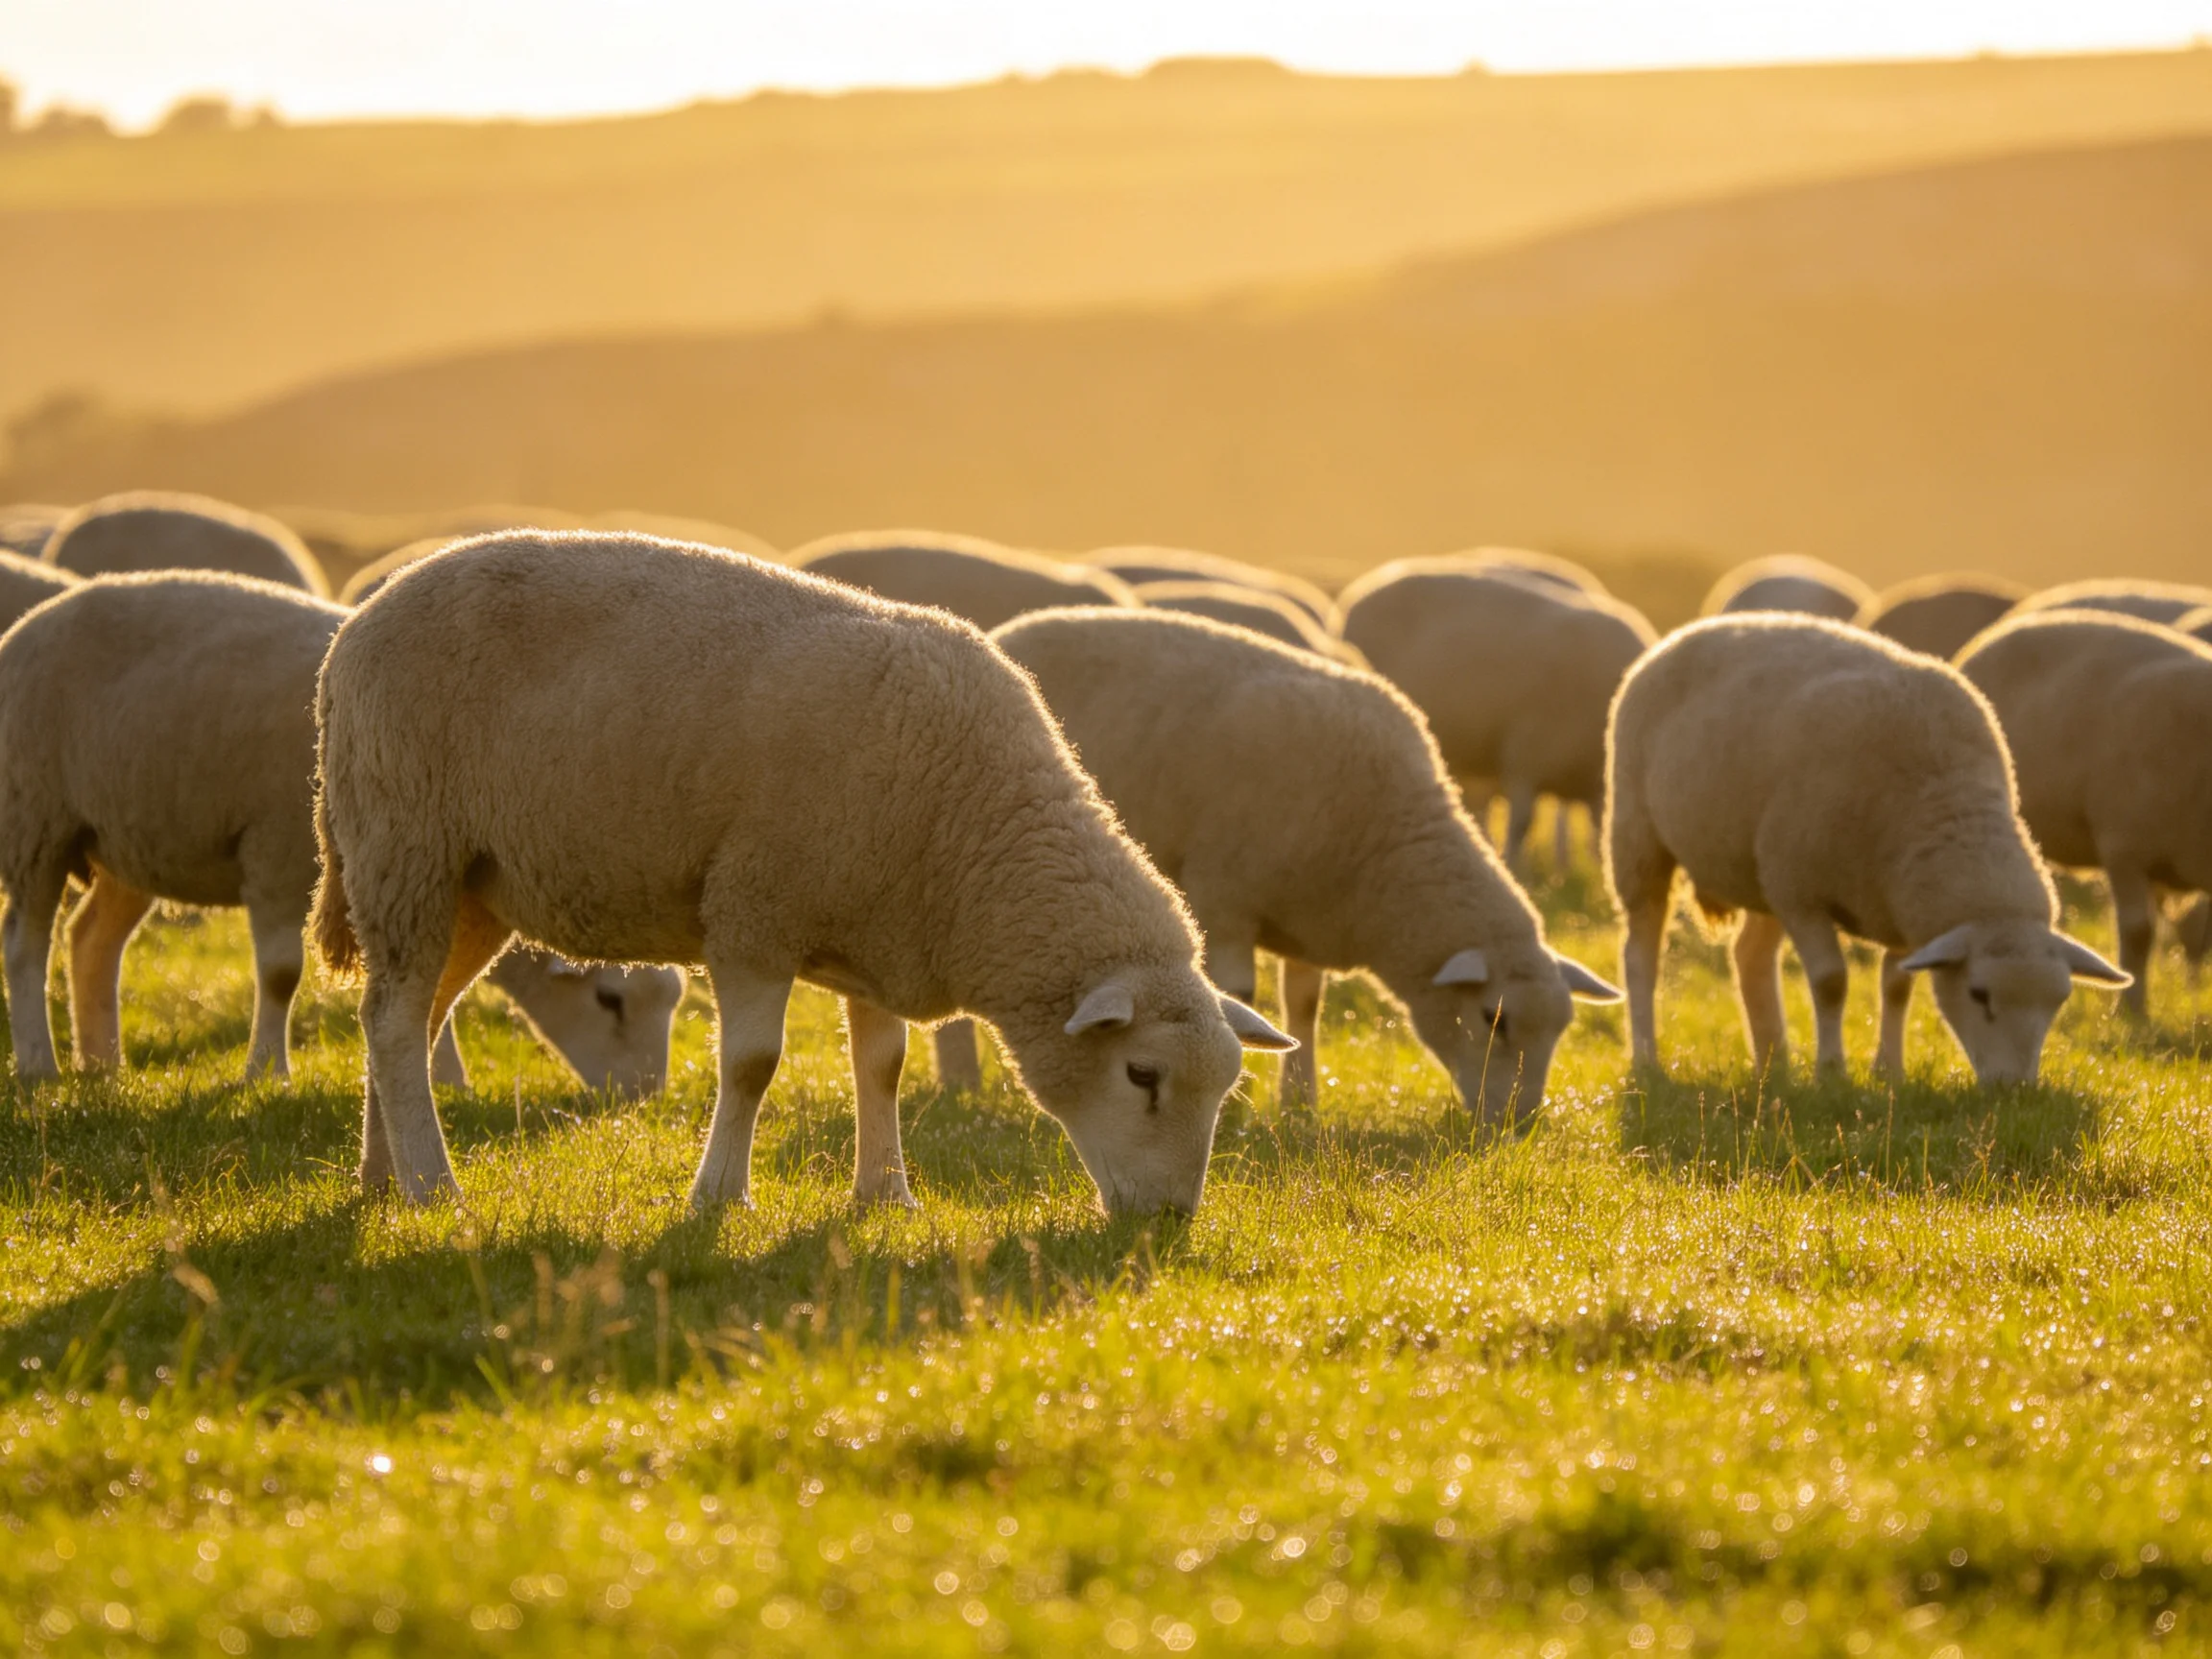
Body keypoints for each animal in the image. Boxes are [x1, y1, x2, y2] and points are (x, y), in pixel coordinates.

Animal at [994, 607, 1619, 1123]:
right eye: (1494, 1018)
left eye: (1561, 1028)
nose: (1520, 1123)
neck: (1384, 849)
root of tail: (1013, 629)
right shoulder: (1224, 899)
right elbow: (1240, 999)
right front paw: (1238, 1108)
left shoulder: (1310, 916)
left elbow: (1304, 1006)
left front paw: (1300, 1101)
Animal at [1606, 614, 2127, 1083]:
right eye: (1979, 994)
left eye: (2059, 1001)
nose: (2014, 1088)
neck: (1944, 802)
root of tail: (1685, 632)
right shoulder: (1802, 892)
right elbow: (1831, 984)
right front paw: (1831, 1071)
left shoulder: (1896, 904)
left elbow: (1897, 987)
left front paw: (1888, 1071)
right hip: (1640, 837)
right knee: (1641, 957)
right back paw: (1647, 1058)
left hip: (1758, 870)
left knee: (1750, 956)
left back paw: (1774, 1063)